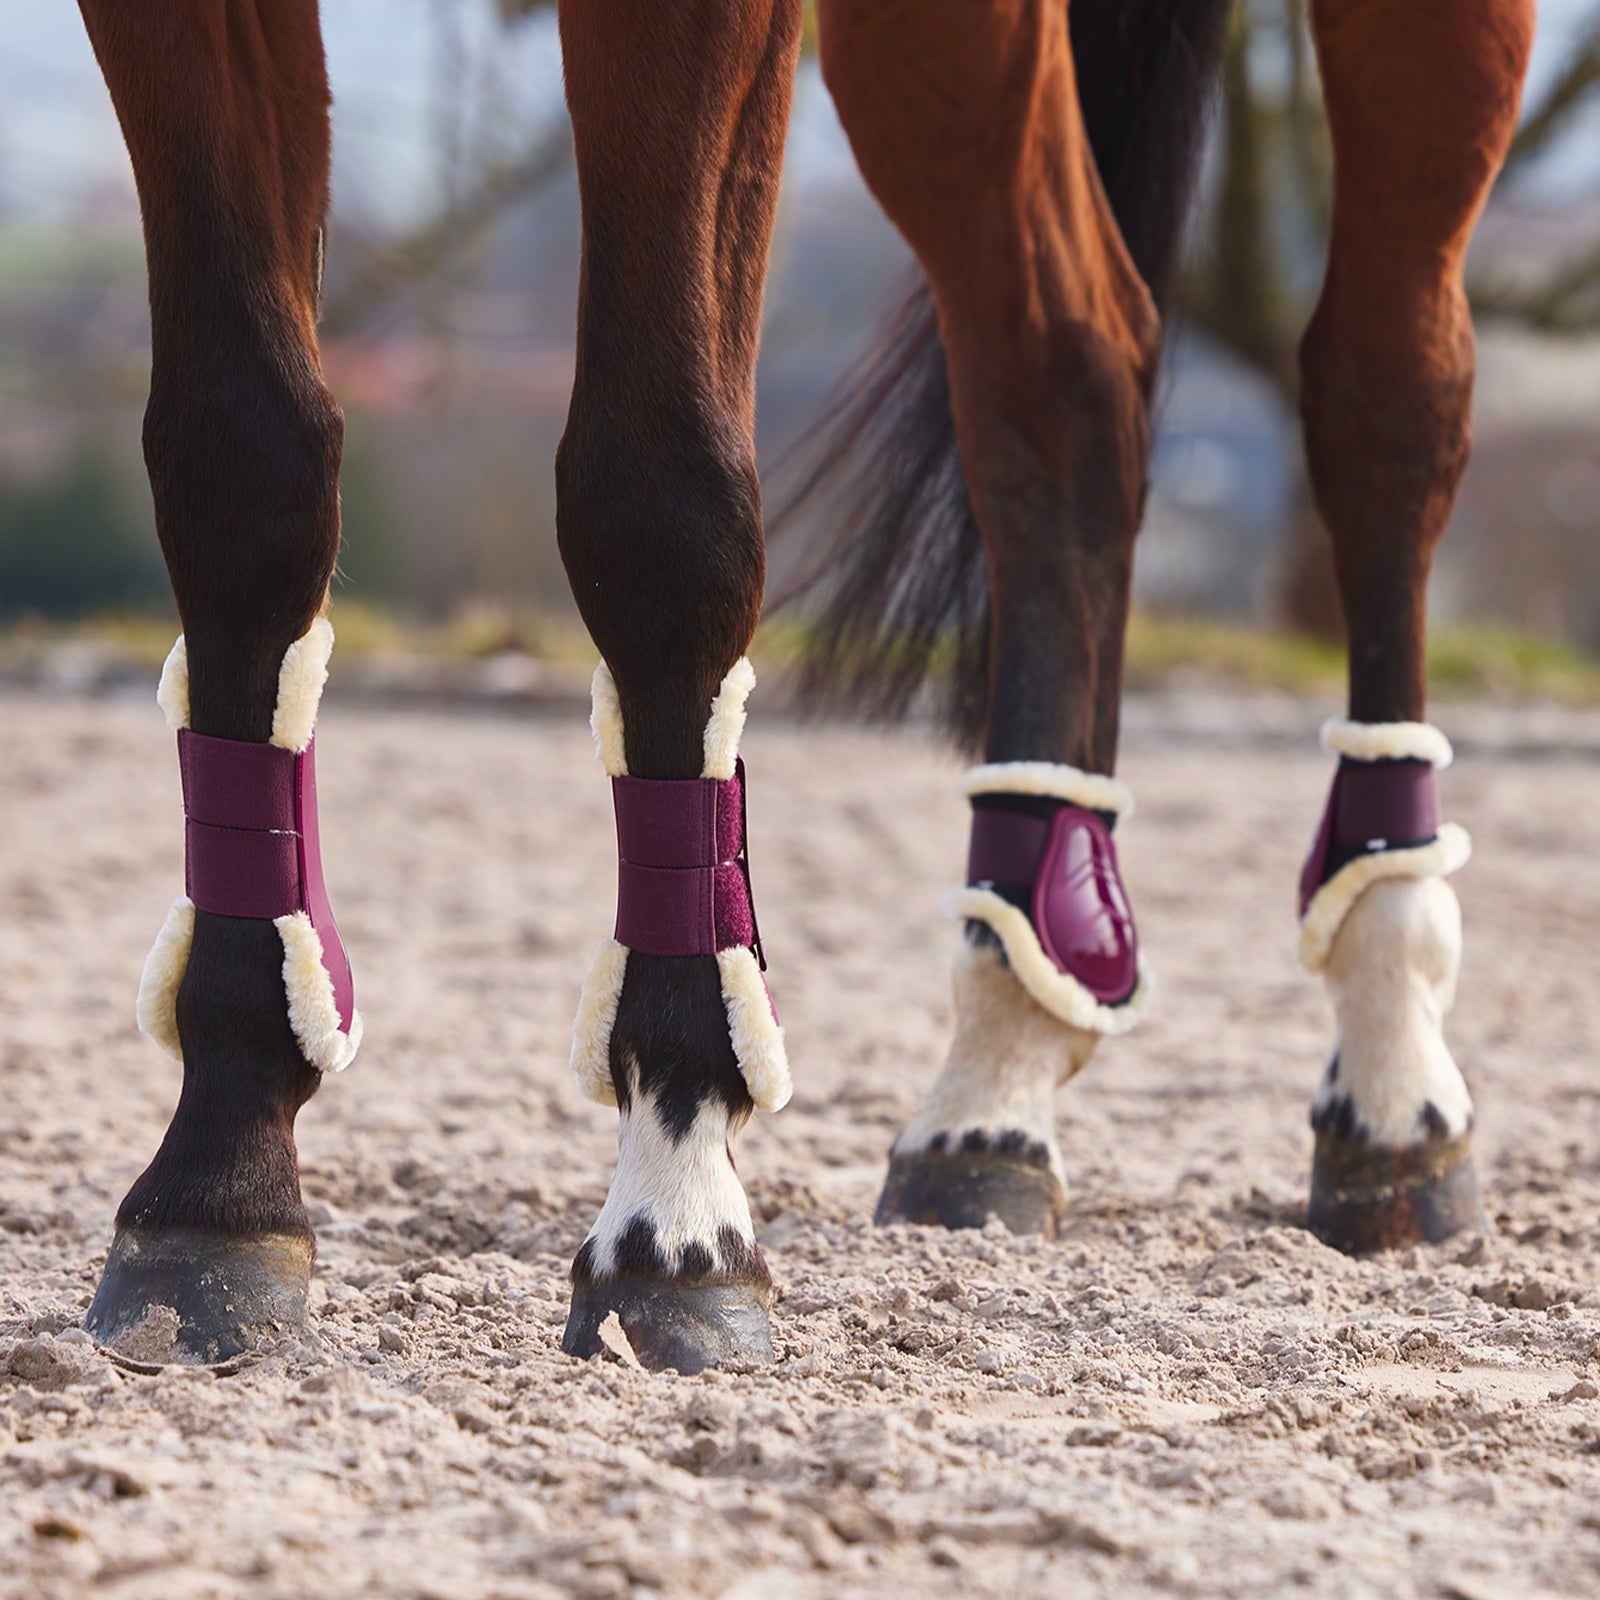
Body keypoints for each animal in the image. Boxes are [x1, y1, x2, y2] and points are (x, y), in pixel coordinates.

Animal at [73, 0, 1534, 1374]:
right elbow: (242, 464)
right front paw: (220, 1170)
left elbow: (658, 498)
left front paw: (673, 1204)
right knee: (1068, 363)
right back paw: (999, 1068)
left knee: (1389, 383)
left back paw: (1391, 1044)